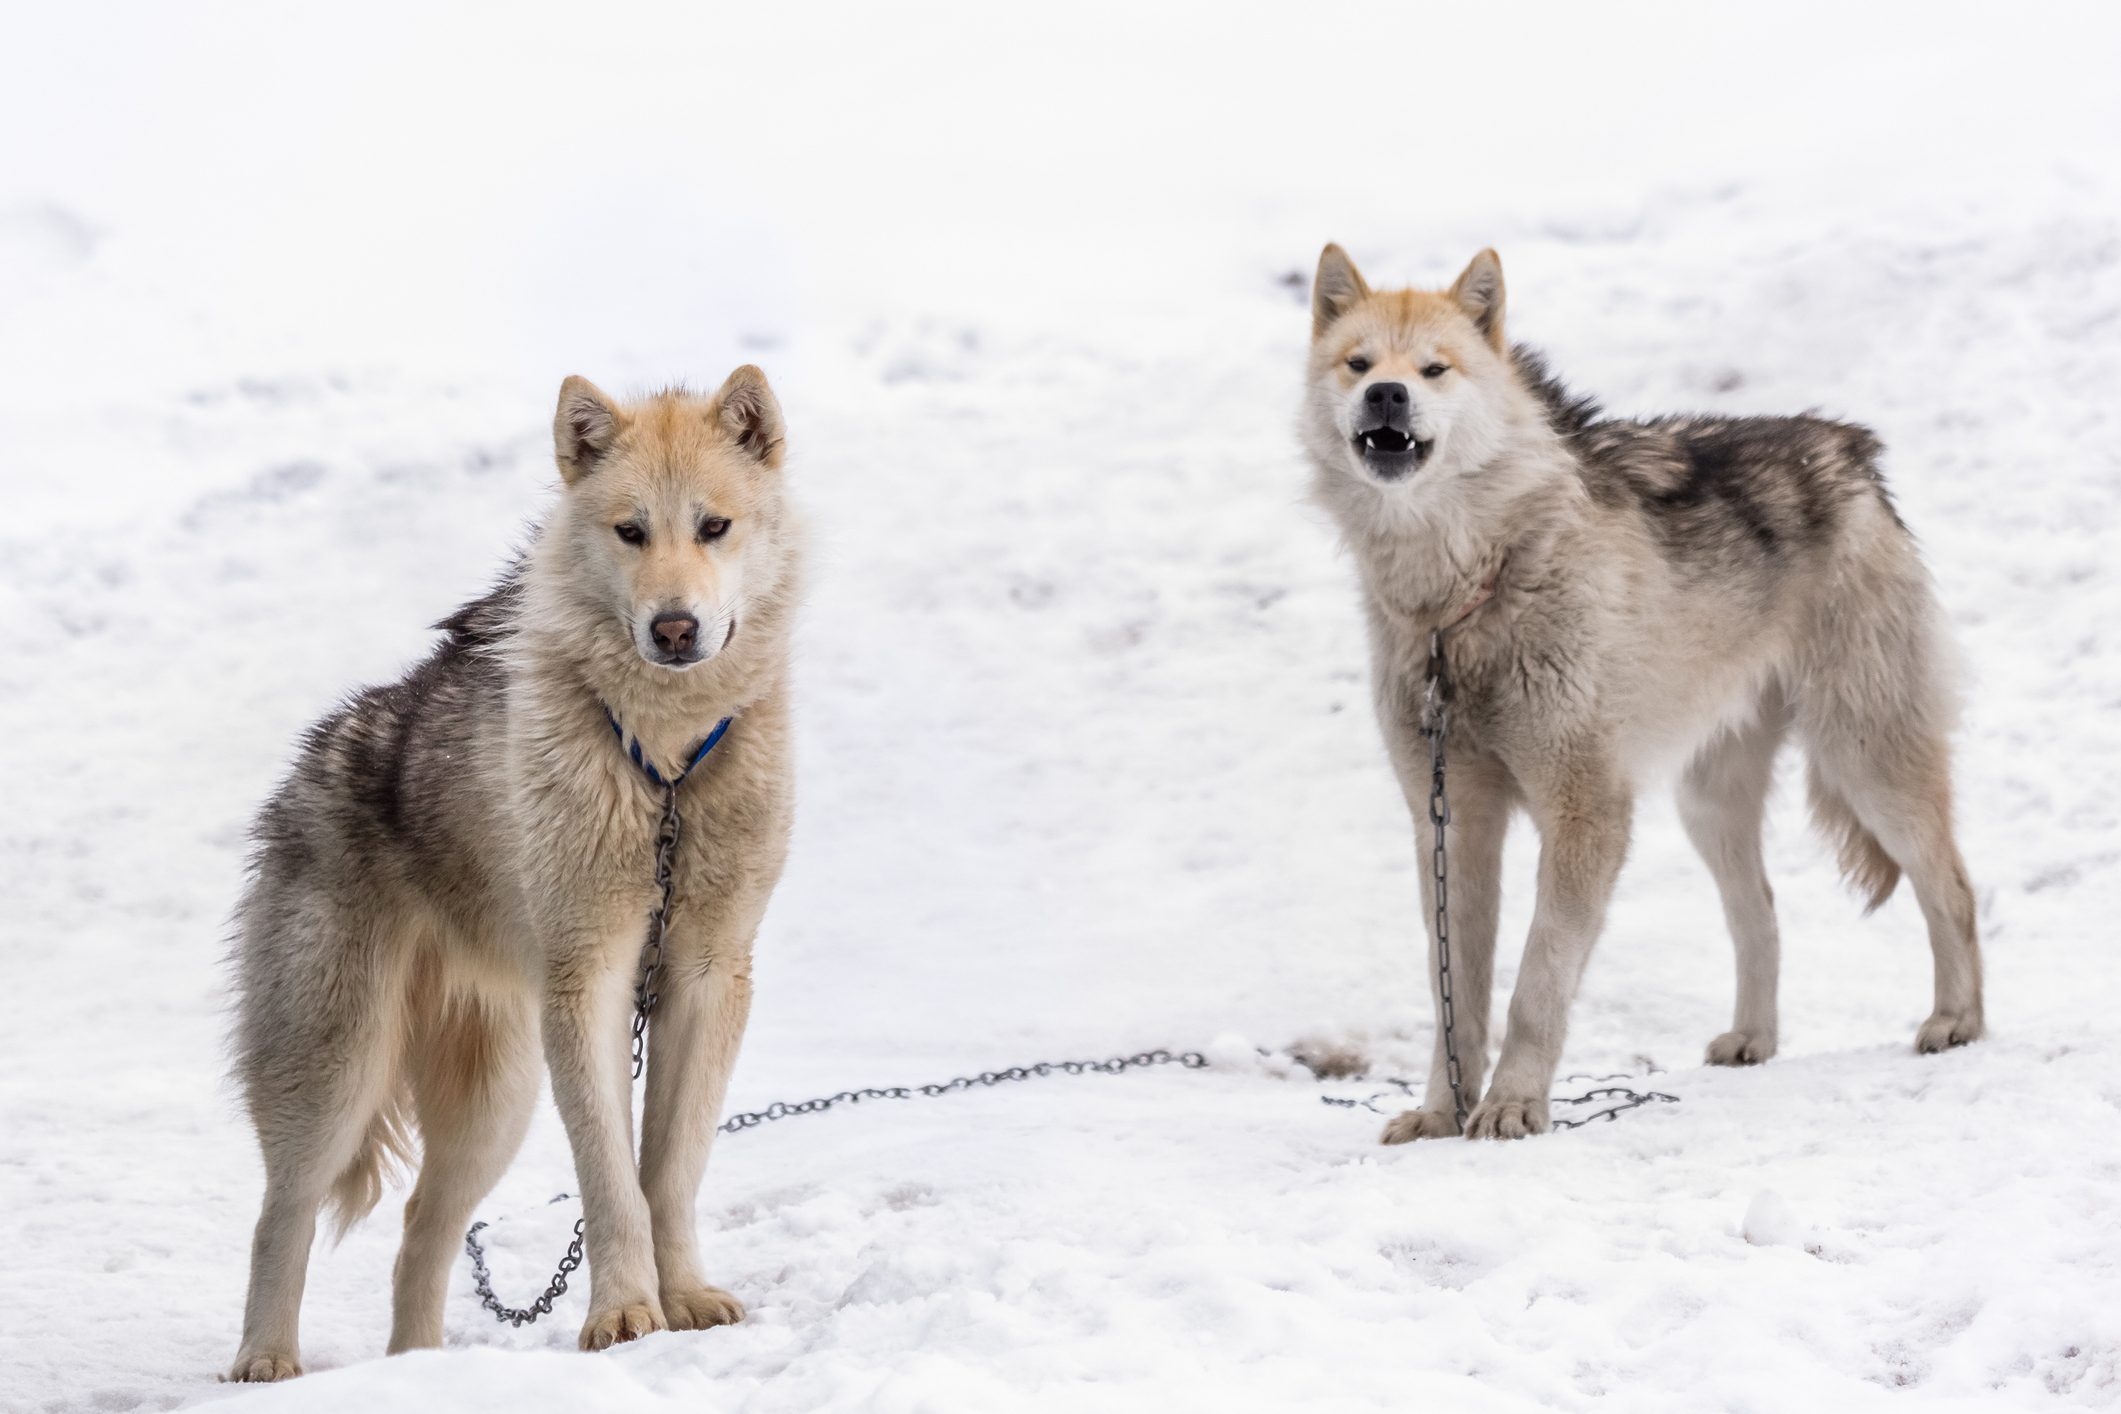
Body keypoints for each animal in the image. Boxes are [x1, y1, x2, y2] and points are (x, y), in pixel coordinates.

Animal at [228, 362, 797, 1373]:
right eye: (630, 531)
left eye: (713, 526)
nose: (675, 627)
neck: (666, 774)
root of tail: (308, 762)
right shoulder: (591, 980)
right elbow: (612, 1180)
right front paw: (622, 1318)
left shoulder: (707, 974)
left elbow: (671, 1171)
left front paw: (686, 1299)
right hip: (340, 1070)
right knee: (280, 1214)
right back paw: (267, 1368)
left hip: (496, 1102)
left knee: (422, 1230)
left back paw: (420, 1372)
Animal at [1306, 245, 1985, 1153]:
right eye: (1357, 364)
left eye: (1432, 370)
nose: (1386, 394)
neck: (1468, 592)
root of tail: (1844, 448)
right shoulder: (1450, 823)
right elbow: (1454, 993)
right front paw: (1441, 1114)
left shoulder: (1585, 811)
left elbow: (1536, 979)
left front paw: (1512, 1107)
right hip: (1707, 806)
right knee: (1761, 912)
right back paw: (1752, 1041)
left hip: (1866, 762)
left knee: (1952, 885)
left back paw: (1957, 1023)